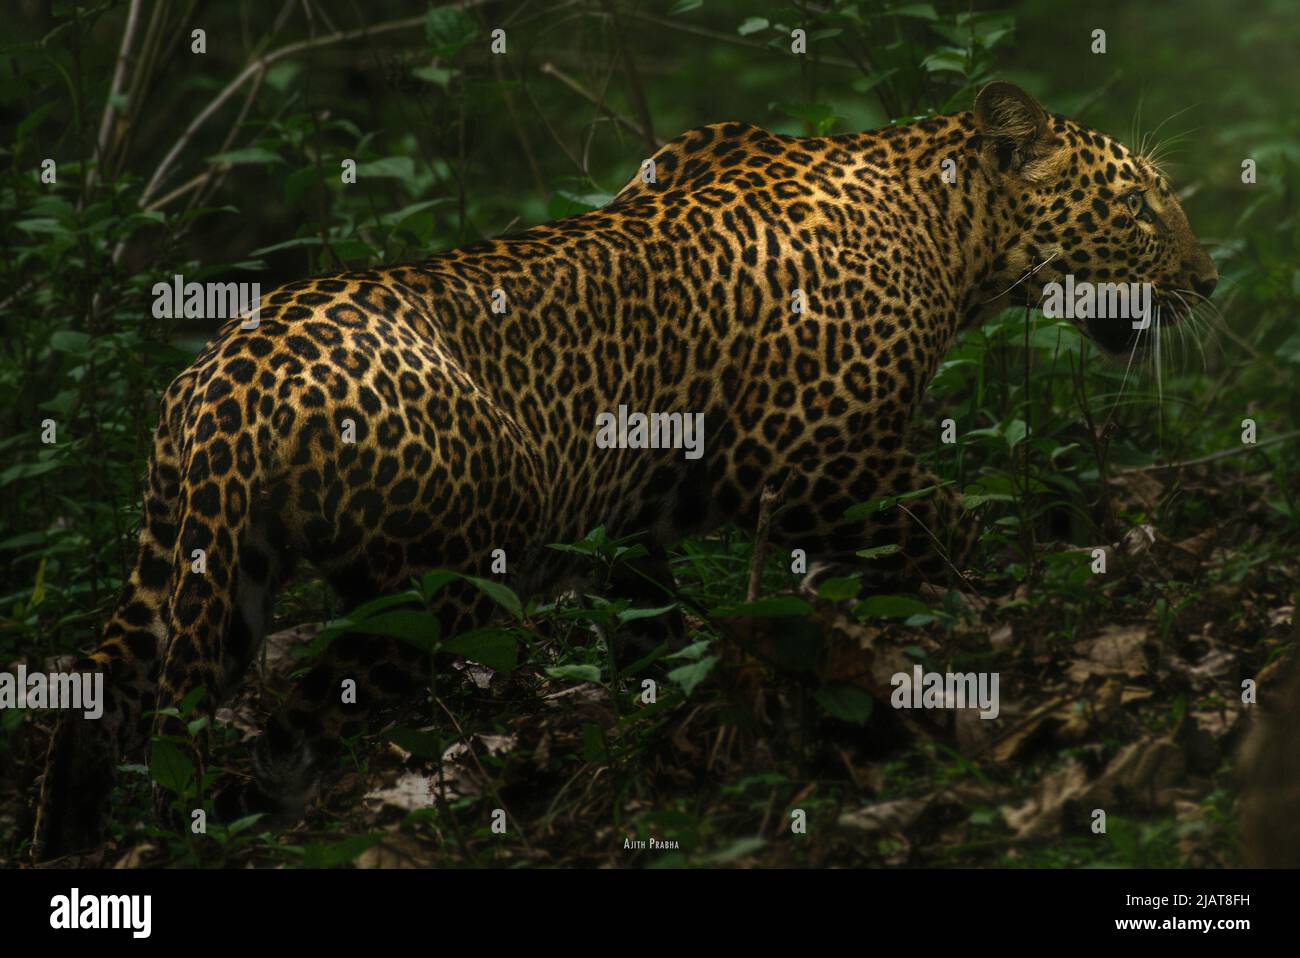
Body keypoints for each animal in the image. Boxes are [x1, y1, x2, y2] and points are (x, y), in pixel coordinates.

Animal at [30, 82, 1216, 857]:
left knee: (97, 699)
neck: (953, 231)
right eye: (1140, 206)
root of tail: (228, 386)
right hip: (433, 586)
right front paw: (993, 612)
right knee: (287, 726)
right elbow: (938, 529)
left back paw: (70, 838)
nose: (1210, 278)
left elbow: (656, 621)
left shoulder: (646, 512)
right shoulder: (811, 453)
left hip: (191, 566)